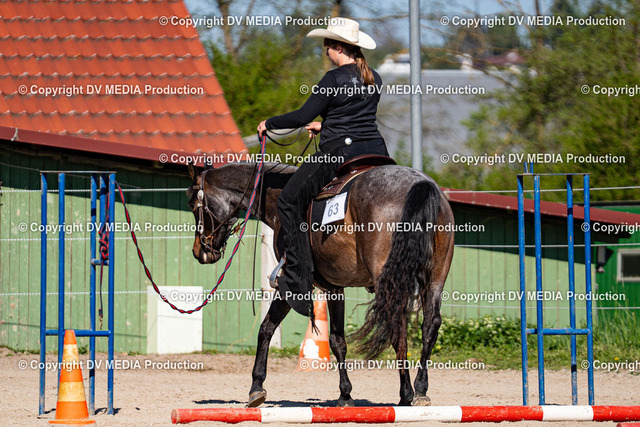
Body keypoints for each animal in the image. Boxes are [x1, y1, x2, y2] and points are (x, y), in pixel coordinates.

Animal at [186, 160, 455, 407]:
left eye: (192, 205)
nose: (199, 251)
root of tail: (421, 184)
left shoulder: (289, 283)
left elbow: (266, 328)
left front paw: (256, 387)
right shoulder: (336, 287)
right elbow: (337, 341)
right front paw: (345, 394)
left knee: (398, 323)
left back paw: (406, 394)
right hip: (435, 278)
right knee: (430, 324)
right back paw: (420, 390)